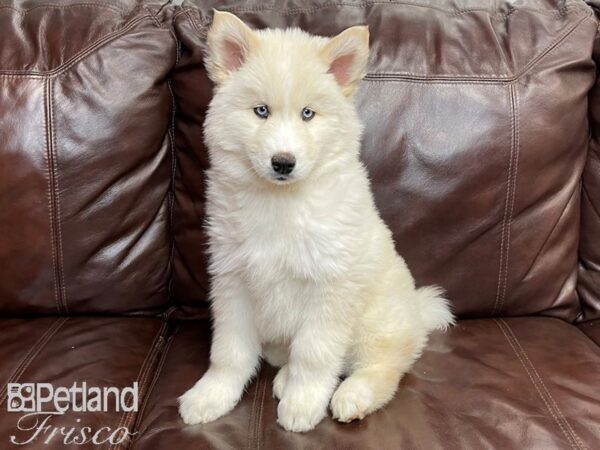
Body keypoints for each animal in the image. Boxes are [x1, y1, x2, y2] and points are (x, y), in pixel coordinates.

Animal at [178, 10, 454, 432]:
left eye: (308, 114)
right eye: (261, 111)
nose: (283, 162)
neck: (280, 202)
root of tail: (417, 311)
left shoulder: (330, 286)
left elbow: (314, 353)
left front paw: (303, 403)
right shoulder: (232, 281)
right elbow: (229, 352)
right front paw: (212, 396)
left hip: (377, 322)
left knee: (384, 366)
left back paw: (352, 394)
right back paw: (282, 375)